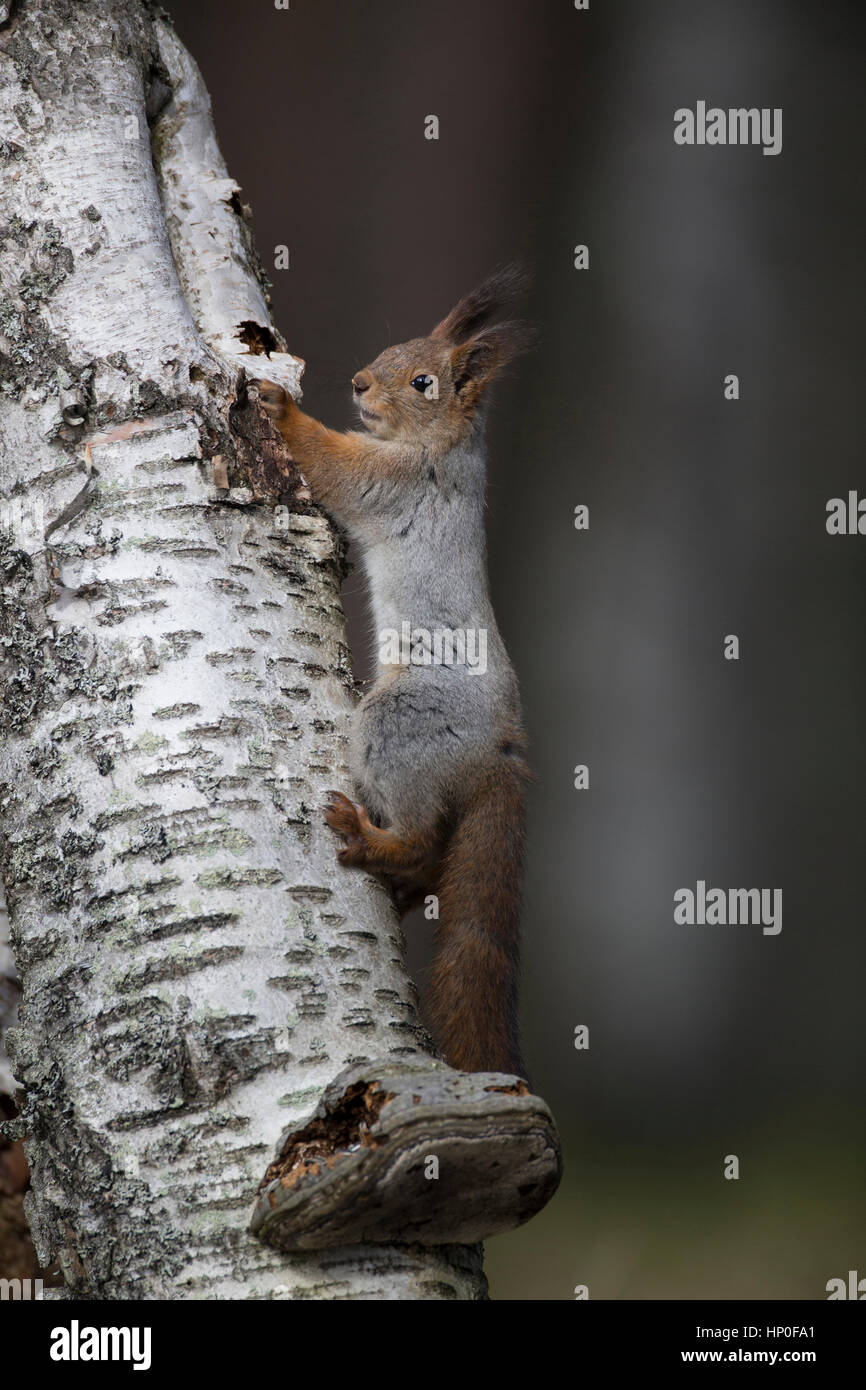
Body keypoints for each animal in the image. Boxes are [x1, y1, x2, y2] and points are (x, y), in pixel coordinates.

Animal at [255, 268, 536, 1073]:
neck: (440, 445)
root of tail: (501, 748)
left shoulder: (397, 481)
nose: (356, 383)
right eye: (388, 352)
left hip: (402, 721)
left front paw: (280, 405)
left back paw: (372, 836)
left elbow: (333, 464)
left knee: (418, 836)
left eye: (423, 382)